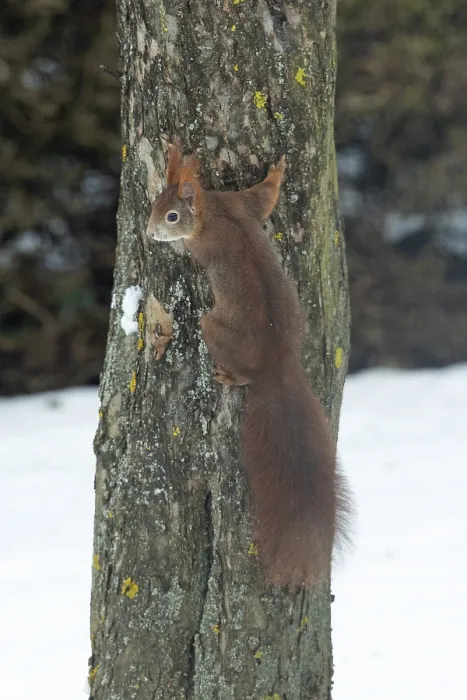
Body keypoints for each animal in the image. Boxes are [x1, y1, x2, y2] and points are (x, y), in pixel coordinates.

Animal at [146, 143, 351, 586]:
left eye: (171, 217)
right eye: (154, 204)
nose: (150, 234)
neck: (212, 212)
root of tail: (276, 365)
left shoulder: (205, 238)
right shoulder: (240, 205)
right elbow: (265, 197)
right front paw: (276, 171)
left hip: (210, 327)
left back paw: (229, 375)